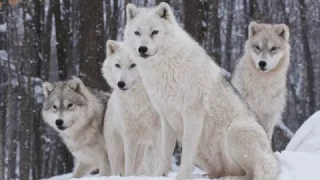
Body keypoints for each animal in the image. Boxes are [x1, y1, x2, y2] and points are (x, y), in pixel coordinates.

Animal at [102, 40, 161, 176]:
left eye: (133, 65)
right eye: (117, 65)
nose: (120, 84)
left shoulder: (158, 131)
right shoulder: (129, 135)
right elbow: (129, 167)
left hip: (143, 149)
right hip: (115, 149)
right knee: (116, 170)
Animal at [124, 2, 278, 180]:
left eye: (154, 32)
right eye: (137, 32)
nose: (142, 49)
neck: (166, 68)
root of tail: (272, 158)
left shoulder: (192, 114)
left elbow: (186, 154)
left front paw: (182, 177)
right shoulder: (167, 118)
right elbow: (164, 154)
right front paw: (158, 175)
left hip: (235, 131)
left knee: (252, 173)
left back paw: (229, 177)